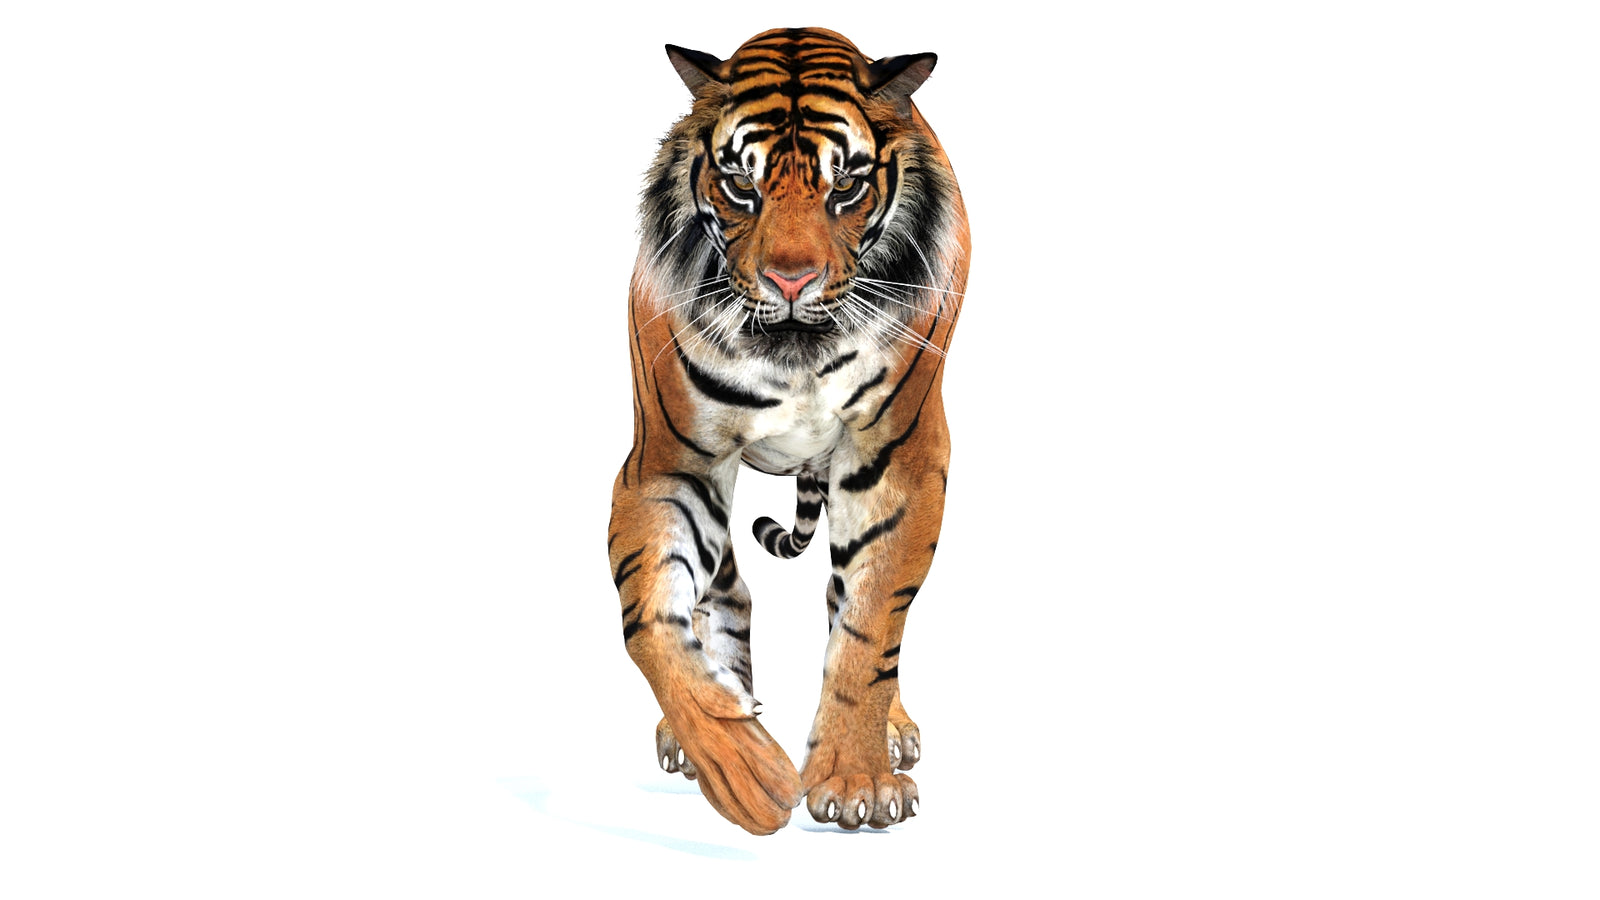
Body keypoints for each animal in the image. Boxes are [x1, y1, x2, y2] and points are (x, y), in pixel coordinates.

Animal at [608, 27, 969, 834]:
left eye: (847, 188)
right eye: (741, 186)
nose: (791, 281)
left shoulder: (897, 460)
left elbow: (868, 627)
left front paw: (858, 780)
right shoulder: (670, 465)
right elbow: (651, 619)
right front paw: (744, 770)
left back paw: (892, 729)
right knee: (725, 597)